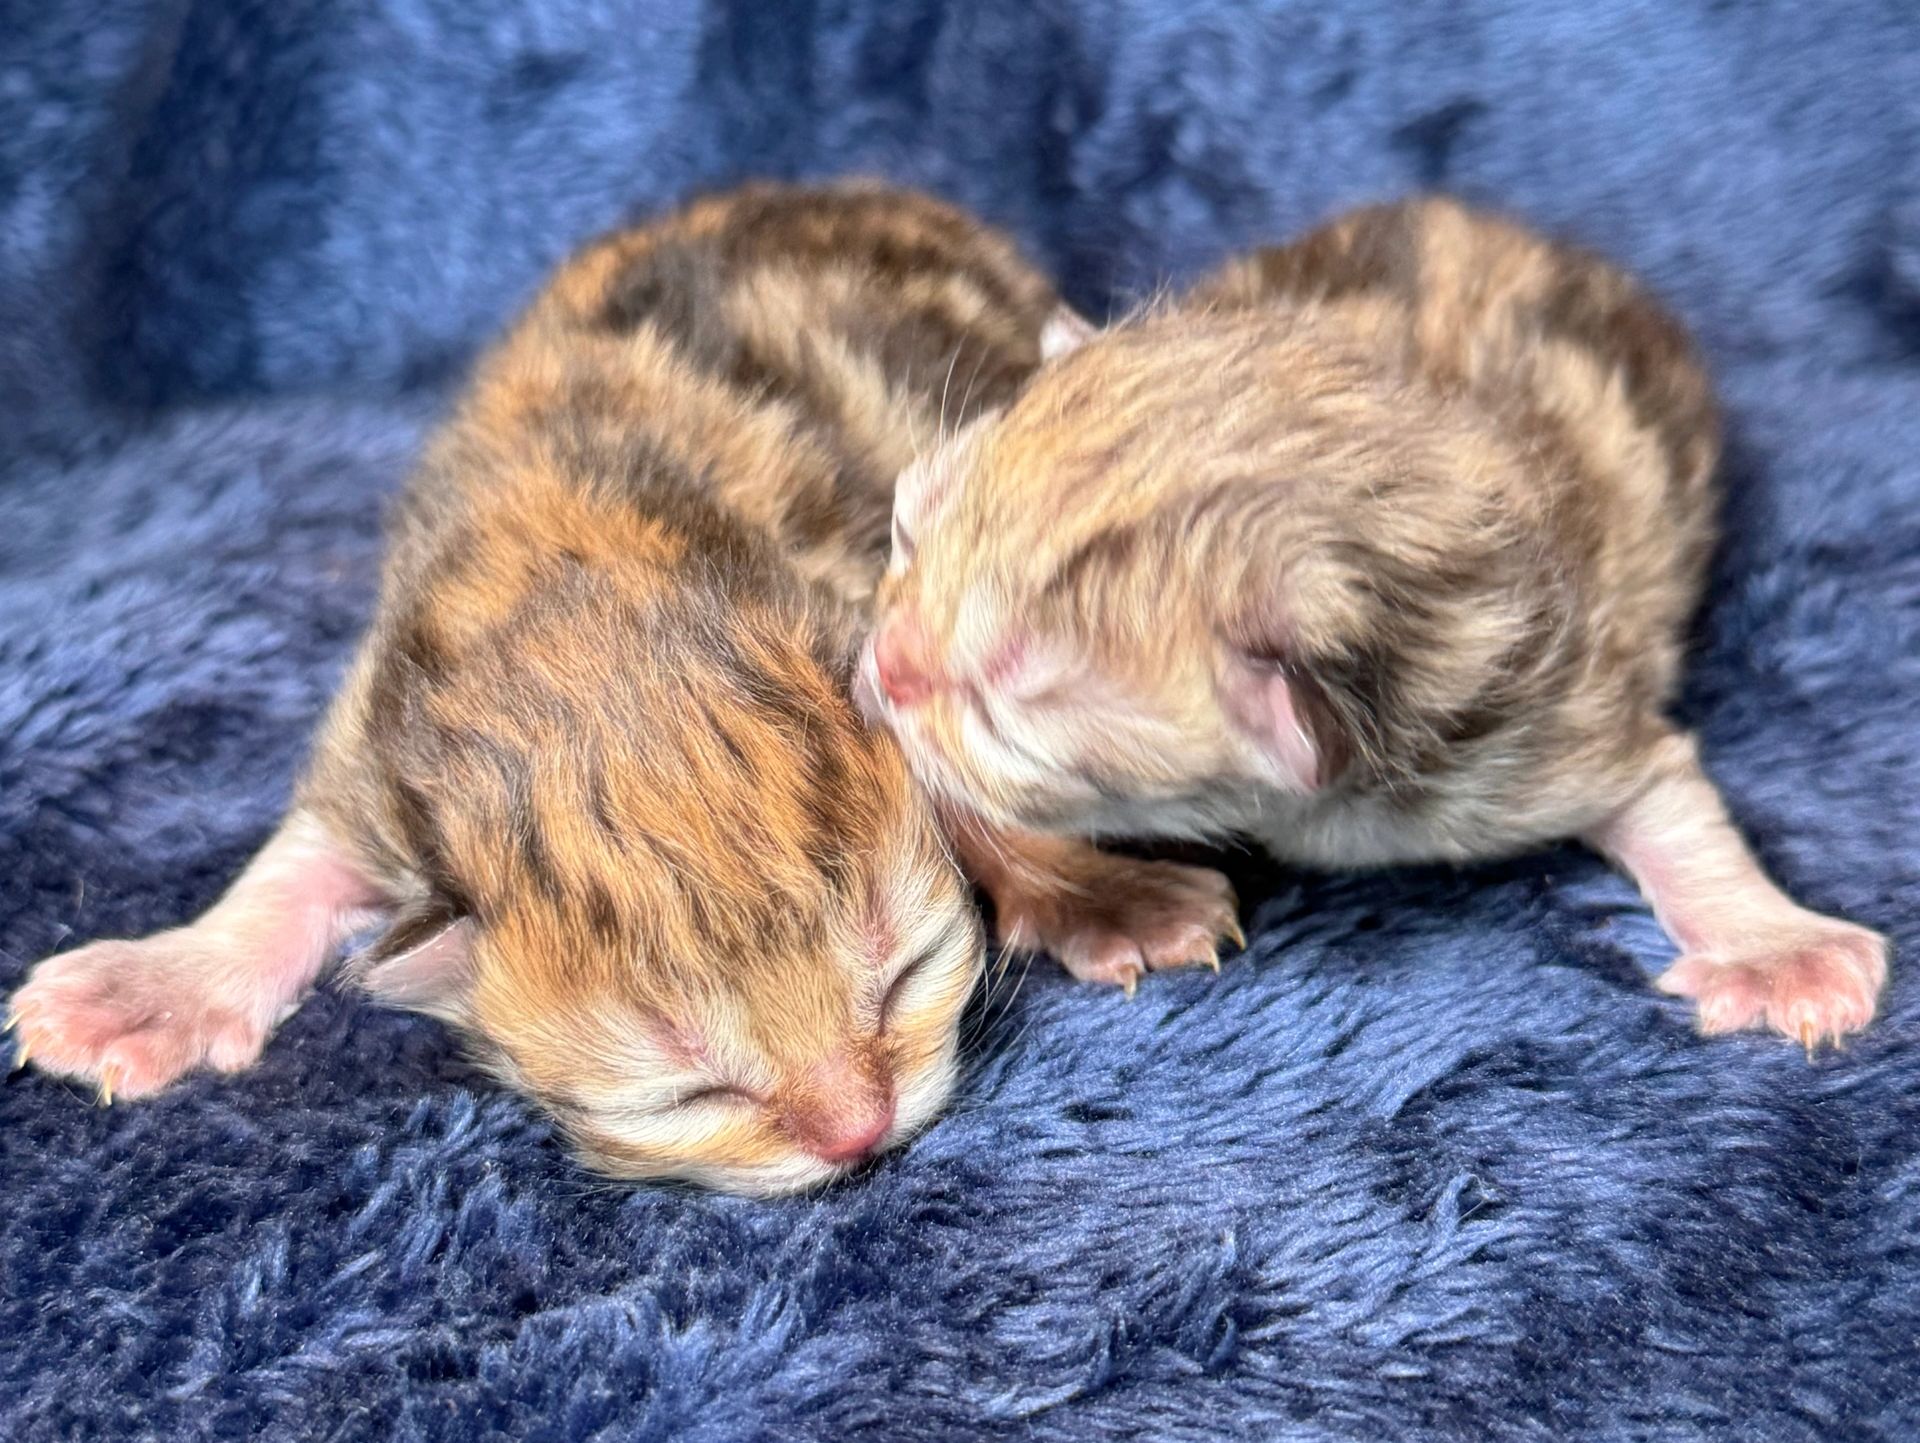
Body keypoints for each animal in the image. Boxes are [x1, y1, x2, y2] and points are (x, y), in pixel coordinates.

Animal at [11, 183, 1228, 1197]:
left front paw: (1108, 896)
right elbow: (294, 868)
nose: (857, 1132)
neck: (572, 573)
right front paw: (155, 987)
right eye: (688, 1094)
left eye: (903, 975)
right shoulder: (378, 739)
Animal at [871, 194, 1889, 1051]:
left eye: (1003, 703)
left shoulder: (1542, 716)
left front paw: (1776, 952)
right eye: (906, 535)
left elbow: (1666, 795)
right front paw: (1107, 897)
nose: (881, 662)